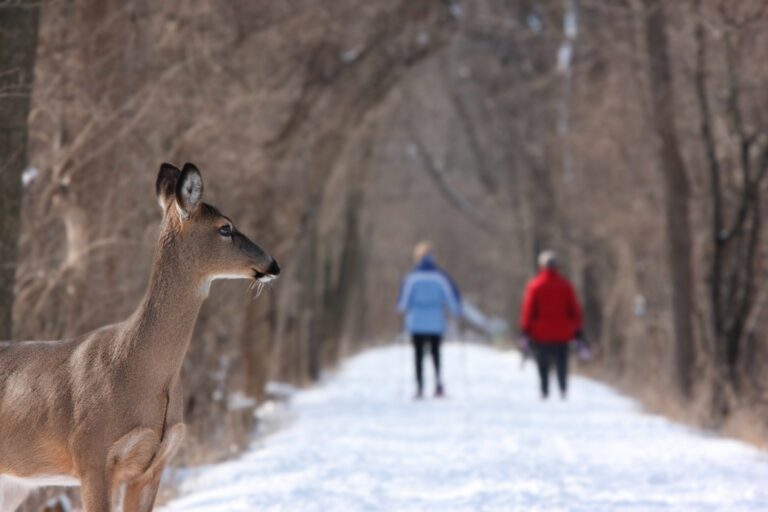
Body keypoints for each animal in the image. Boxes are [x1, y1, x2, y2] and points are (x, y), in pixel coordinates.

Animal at [0, 163, 280, 511]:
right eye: (225, 228)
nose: (273, 264)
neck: (143, 372)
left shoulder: (153, 465)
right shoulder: (92, 456)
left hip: (13, 482)